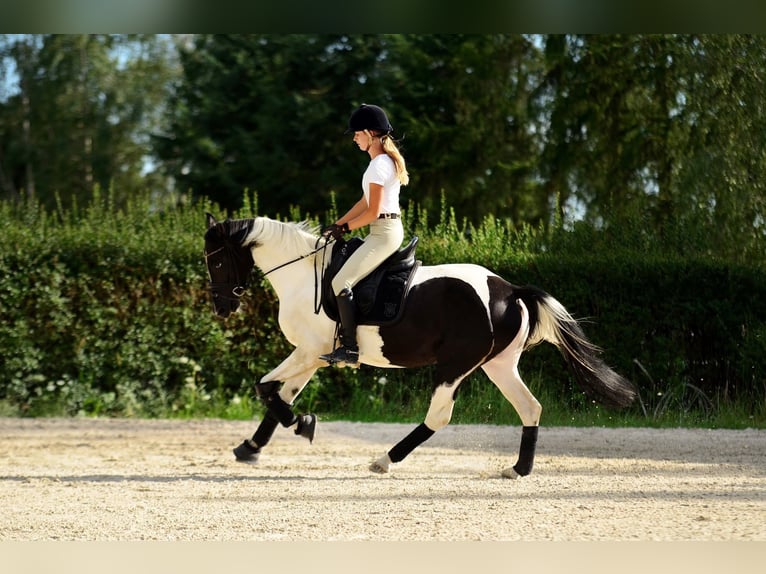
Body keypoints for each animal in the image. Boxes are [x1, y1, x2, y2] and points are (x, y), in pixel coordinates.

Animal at [203, 213, 637, 478]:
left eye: (218, 262)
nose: (222, 307)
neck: (303, 273)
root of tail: (509, 289)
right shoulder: (312, 356)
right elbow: (279, 395)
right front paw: (251, 447)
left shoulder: (309, 352)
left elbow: (265, 388)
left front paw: (303, 425)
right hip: (498, 365)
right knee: (530, 407)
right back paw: (518, 469)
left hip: (455, 366)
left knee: (439, 417)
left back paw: (383, 459)